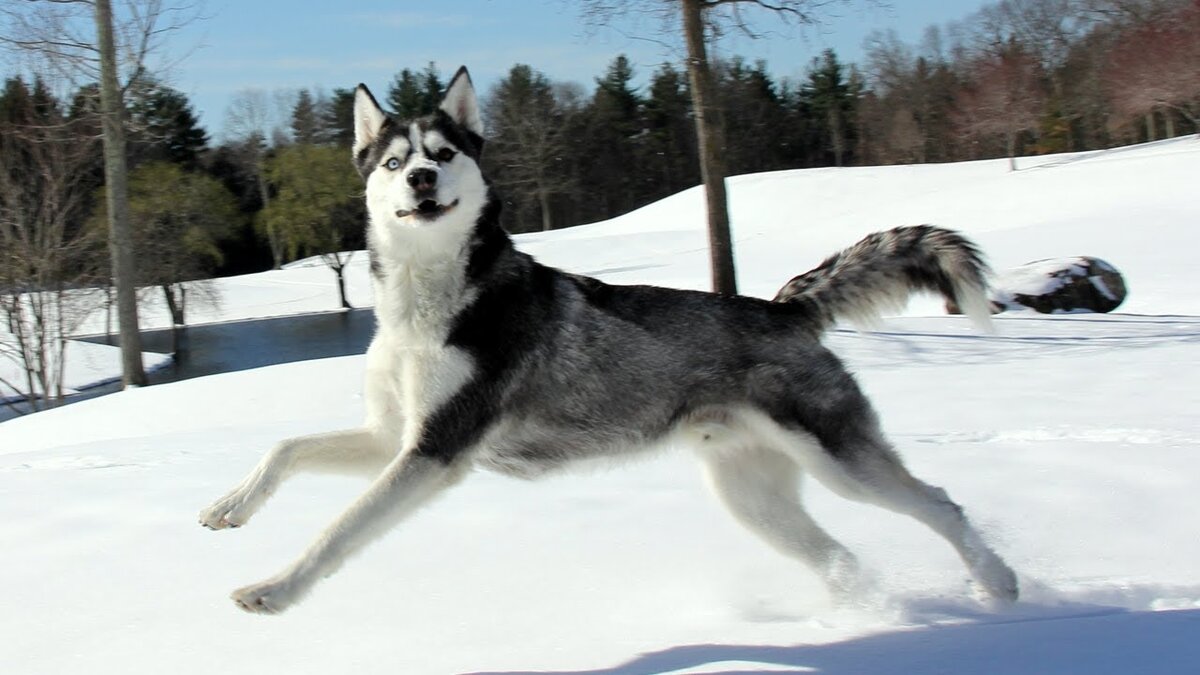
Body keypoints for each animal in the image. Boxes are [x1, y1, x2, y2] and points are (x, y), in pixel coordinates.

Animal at [199, 66, 1022, 610]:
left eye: (447, 152)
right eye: (395, 160)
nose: (423, 181)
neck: (426, 301)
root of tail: (782, 308)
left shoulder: (434, 450)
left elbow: (339, 530)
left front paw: (275, 588)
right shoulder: (394, 435)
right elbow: (286, 448)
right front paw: (230, 505)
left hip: (839, 461)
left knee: (941, 504)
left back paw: (998, 582)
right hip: (755, 502)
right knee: (842, 557)